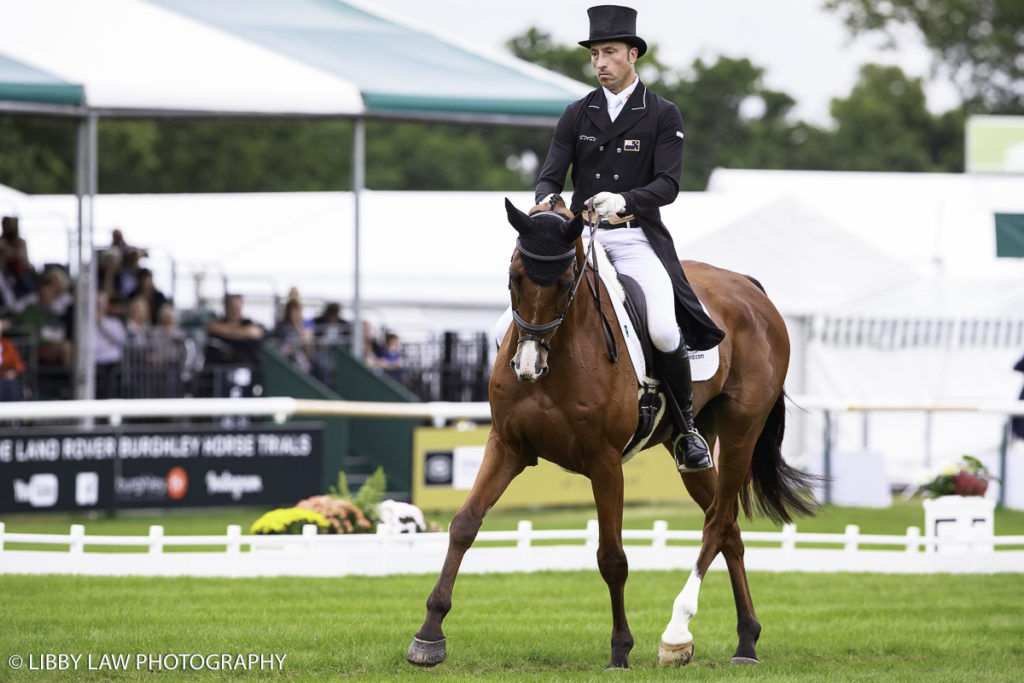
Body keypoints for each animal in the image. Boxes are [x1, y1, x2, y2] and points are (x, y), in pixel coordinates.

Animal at [407, 197, 815, 667]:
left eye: (566, 283)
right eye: (513, 278)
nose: (528, 367)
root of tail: (750, 290)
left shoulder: (605, 463)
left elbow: (612, 557)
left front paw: (620, 649)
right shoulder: (507, 446)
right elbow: (464, 525)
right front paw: (428, 635)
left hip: (740, 432)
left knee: (715, 523)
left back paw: (676, 634)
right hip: (691, 450)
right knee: (728, 524)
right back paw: (746, 641)